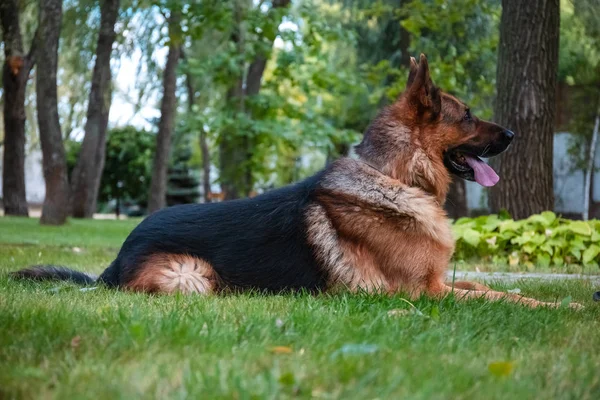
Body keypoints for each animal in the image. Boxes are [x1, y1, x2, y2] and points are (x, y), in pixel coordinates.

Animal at [10, 54, 576, 308]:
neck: (395, 178)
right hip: (193, 274)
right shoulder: (424, 293)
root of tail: (114, 259)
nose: (514, 133)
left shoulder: (443, 284)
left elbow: (487, 284)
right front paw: (560, 305)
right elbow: (504, 298)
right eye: (468, 115)